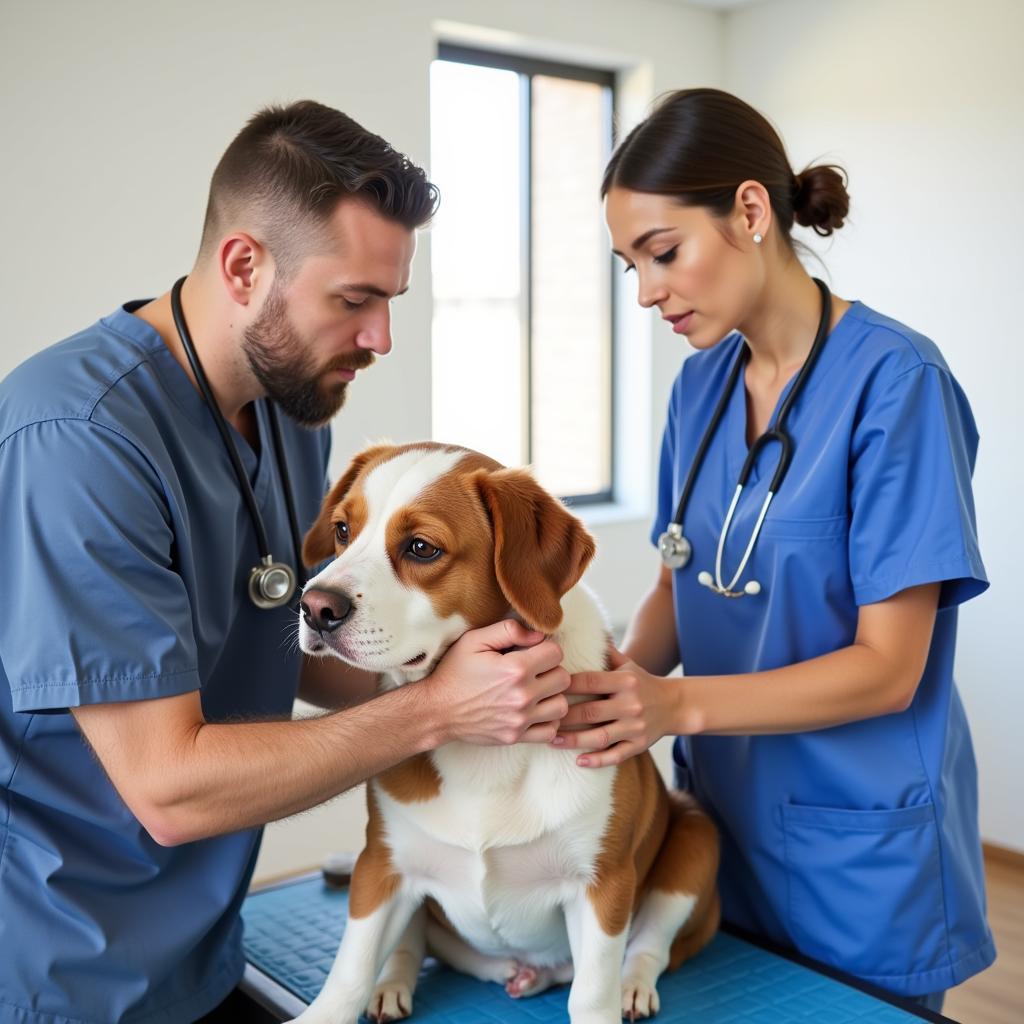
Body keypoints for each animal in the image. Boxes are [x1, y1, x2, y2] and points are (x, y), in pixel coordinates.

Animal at [288, 442, 720, 1024]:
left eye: (421, 547)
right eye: (341, 530)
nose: (315, 607)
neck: (485, 750)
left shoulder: (602, 884)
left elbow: (592, 993)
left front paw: (611, 996)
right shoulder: (380, 865)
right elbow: (350, 972)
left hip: (697, 836)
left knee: (651, 945)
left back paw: (633, 985)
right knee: (408, 945)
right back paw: (393, 984)